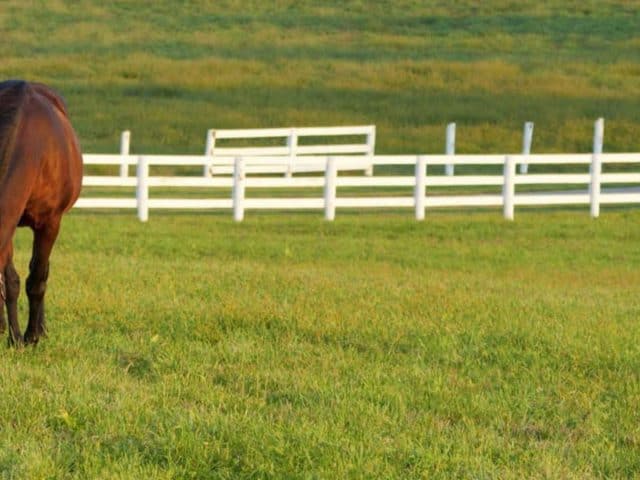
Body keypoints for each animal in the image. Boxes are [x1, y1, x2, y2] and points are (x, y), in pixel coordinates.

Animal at [0, 80, 82, 346]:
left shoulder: (50, 222)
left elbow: (36, 277)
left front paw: (30, 336)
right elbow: (11, 281)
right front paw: (15, 336)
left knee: (42, 271)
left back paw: (41, 328)